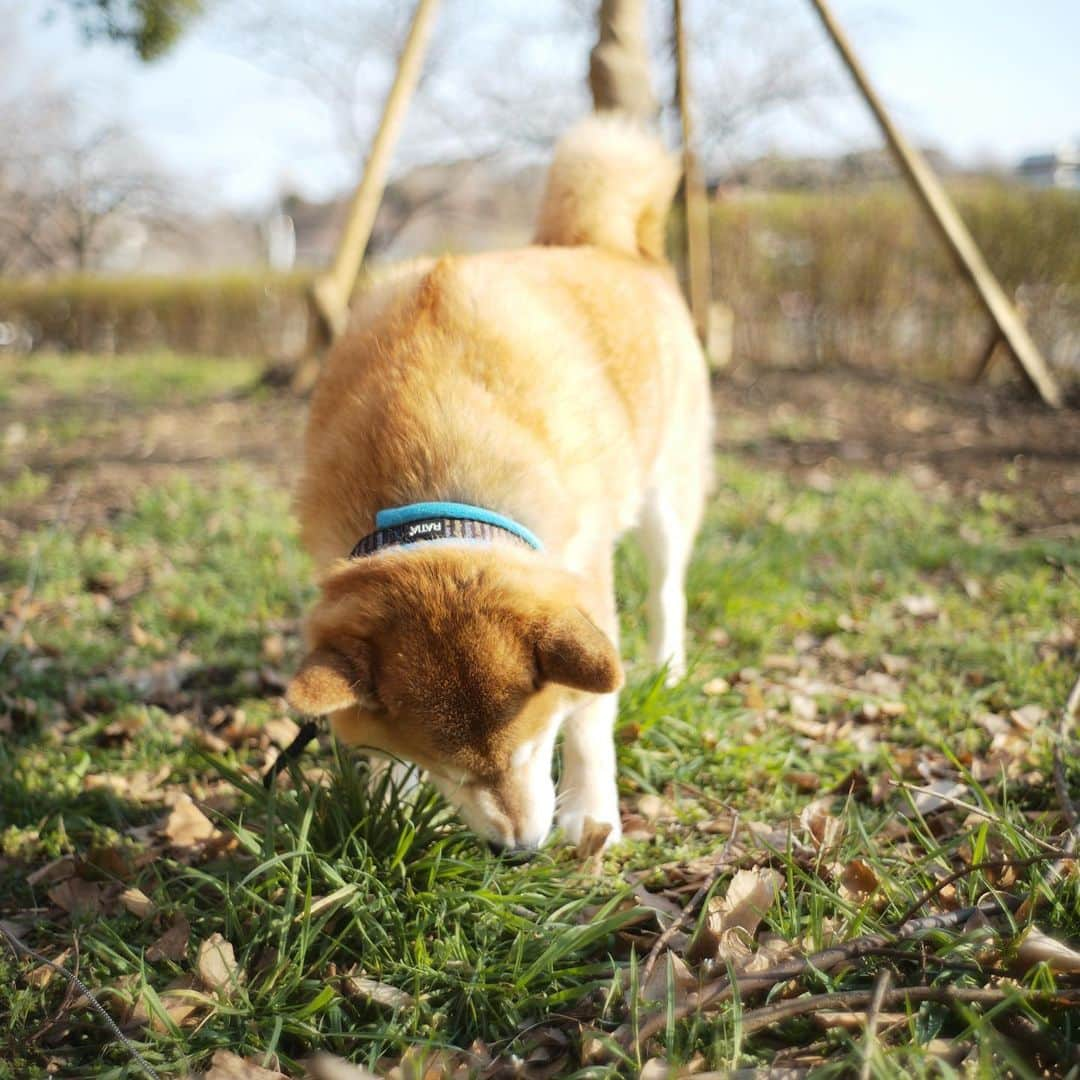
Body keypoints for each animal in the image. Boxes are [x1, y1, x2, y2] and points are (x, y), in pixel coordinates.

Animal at [285, 113, 708, 846]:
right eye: (448, 771)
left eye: (533, 747)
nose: (518, 851)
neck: (436, 495)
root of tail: (610, 248)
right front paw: (394, 800)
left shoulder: (583, 583)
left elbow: (592, 714)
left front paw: (590, 810)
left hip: (665, 499)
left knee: (666, 594)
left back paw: (668, 667)